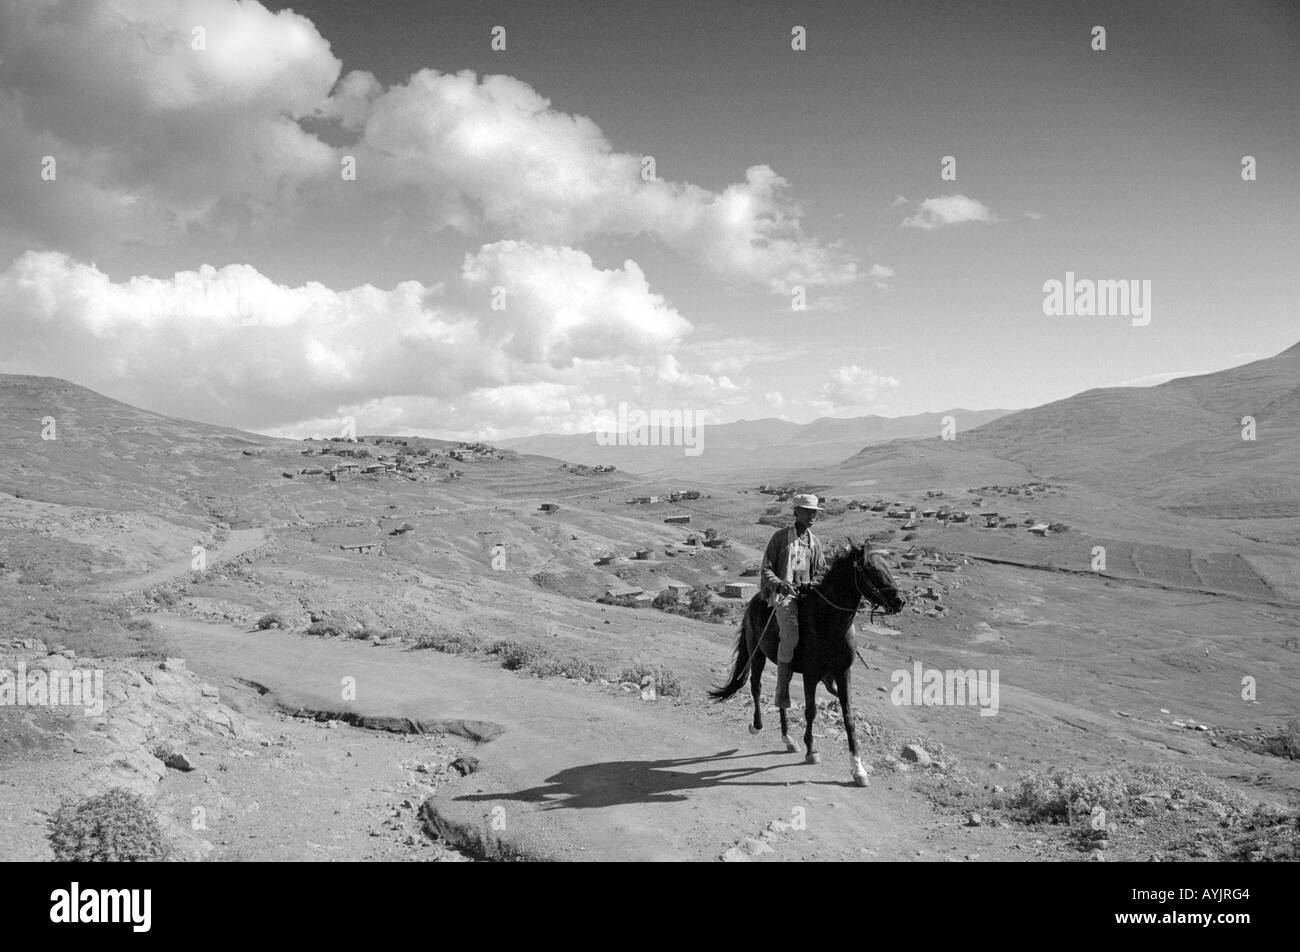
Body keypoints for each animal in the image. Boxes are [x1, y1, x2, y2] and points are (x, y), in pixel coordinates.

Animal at [712, 543, 904, 790]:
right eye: (871, 569)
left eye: (887, 566)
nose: (900, 601)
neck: (828, 622)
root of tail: (755, 600)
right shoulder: (811, 675)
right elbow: (811, 711)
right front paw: (811, 750)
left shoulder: (842, 673)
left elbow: (849, 717)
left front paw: (858, 769)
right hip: (757, 654)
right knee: (756, 687)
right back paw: (757, 725)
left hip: (783, 664)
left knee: (781, 695)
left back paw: (788, 739)